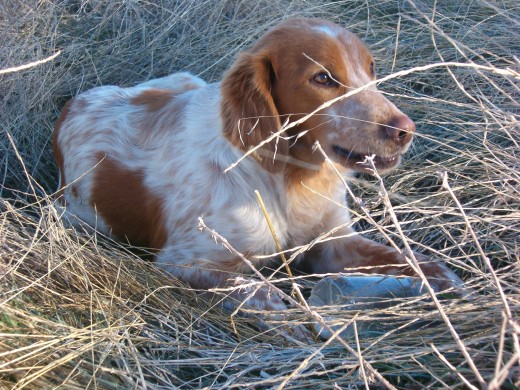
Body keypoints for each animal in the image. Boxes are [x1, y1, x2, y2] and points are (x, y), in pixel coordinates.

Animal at [52, 18, 462, 312]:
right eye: (323, 78)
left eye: (372, 69)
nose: (405, 130)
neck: (289, 177)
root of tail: (72, 104)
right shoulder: (188, 263)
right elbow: (270, 300)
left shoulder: (334, 242)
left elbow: (408, 259)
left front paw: (447, 280)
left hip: (188, 81)